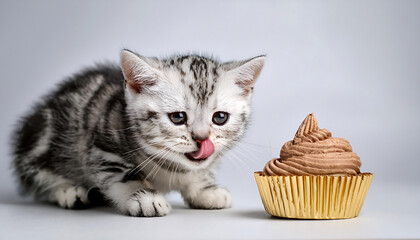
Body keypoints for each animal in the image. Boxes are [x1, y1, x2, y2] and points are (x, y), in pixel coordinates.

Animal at [11, 49, 266, 217]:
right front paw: (146, 197)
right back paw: (68, 190)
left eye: (220, 118)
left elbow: (201, 172)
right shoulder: (104, 147)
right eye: (178, 117)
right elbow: (126, 174)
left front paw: (205, 189)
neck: (171, 166)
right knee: (38, 176)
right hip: (43, 139)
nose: (202, 138)